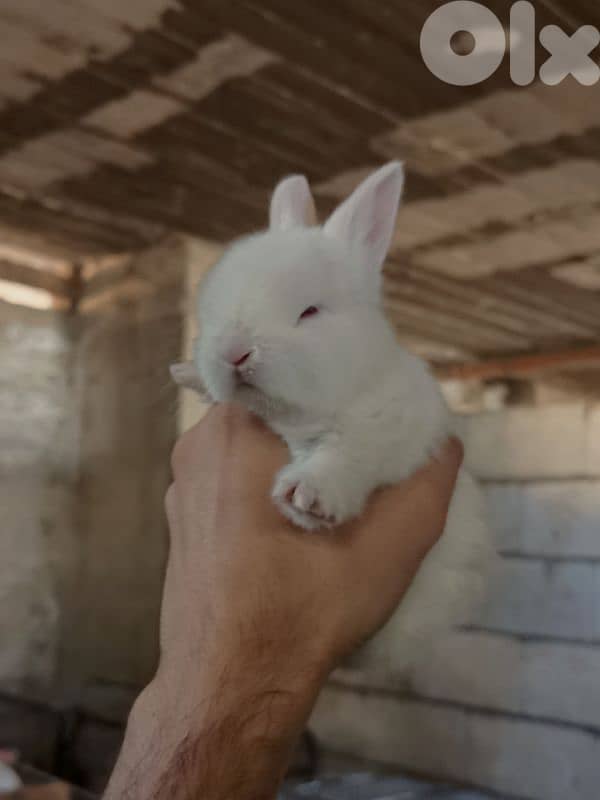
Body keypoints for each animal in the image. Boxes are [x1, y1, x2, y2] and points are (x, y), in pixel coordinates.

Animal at [172, 162, 494, 675]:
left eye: (309, 311)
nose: (234, 353)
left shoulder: (390, 427)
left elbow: (346, 454)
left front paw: (308, 498)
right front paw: (187, 374)